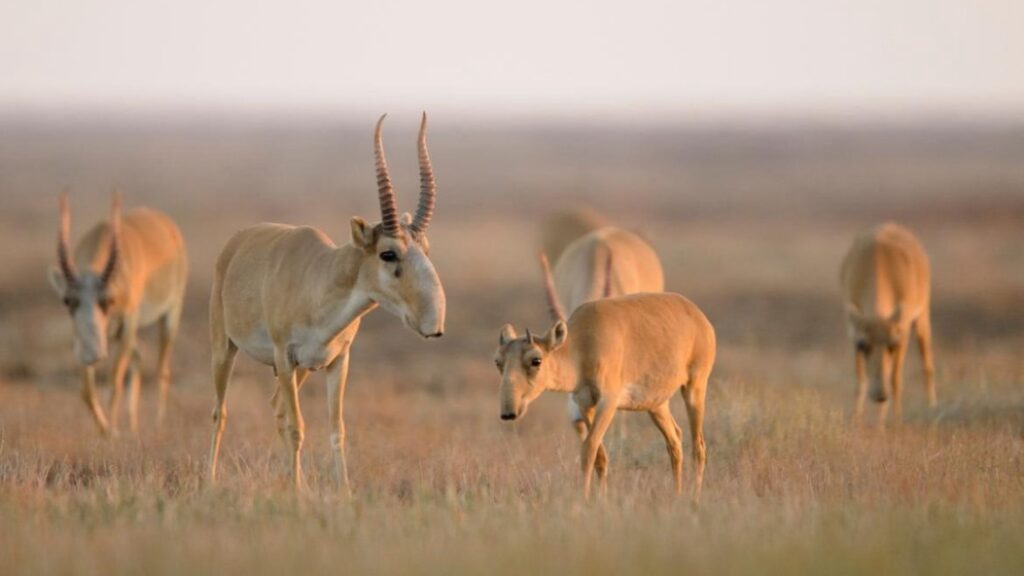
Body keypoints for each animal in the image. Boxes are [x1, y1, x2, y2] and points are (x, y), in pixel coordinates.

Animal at [48, 190, 188, 432]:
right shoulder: (83, 336)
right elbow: (87, 391)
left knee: (162, 369)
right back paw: (134, 428)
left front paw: (114, 432)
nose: (93, 354)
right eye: (67, 300)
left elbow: (114, 382)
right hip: (117, 334)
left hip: (169, 316)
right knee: (139, 358)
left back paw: (158, 427)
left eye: (109, 300)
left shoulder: (129, 322)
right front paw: (107, 432)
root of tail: (166, 225)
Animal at [206, 113, 444, 487]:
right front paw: (297, 493)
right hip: (226, 349)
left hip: (300, 370)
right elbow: (297, 427)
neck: (320, 279)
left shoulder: (337, 362)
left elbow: (336, 430)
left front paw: (340, 491)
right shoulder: (285, 356)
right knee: (220, 412)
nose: (434, 323)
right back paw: (210, 480)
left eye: (426, 249)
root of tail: (236, 242)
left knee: (275, 407)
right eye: (388, 253)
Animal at [493, 272, 712, 498]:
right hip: (656, 404)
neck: (582, 345)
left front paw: (584, 498)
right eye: (498, 361)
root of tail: (698, 315)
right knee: (675, 440)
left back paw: (694, 497)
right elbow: (600, 456)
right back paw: (677, 494)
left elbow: (589, 448)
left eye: (536, 360)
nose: (509, 413)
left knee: (698, 446)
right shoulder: (584, 403)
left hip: (695, 387)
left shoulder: (608, 402)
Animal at [839, 222, 937, 424]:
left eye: (893, 344)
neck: (878, 264)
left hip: (922, 316)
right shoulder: (853, 332)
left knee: (927, 363)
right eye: (863, 344)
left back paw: (932, 407)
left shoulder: (903, 331)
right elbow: (860, 379)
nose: (880, 395)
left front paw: (895, 420)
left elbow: (895, 378)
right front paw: (856, 419)